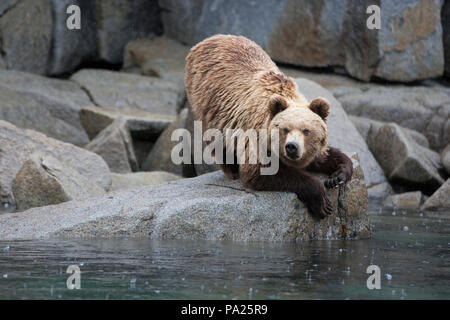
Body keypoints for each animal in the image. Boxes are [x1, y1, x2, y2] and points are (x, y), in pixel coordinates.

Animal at [185, 35, 354, 220]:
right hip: (206, 103)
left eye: (306, 131)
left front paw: (337, 176)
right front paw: (322, 202)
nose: (292, 147)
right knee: (218, 139)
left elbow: (326, 156)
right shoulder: (255, 136)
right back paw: (232, 170)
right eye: (285, 129)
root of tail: (210, 39)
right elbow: (260, 172)